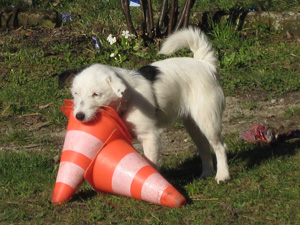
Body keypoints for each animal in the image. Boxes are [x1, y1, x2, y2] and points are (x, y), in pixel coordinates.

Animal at [70, 27, 230, 184]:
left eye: (96, 94)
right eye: (76, 94)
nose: (79, 116)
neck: (128, 98)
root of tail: (204, 64)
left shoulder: (150, 136)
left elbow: (150, 163)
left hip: (208, 120)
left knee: (220, 147)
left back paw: (222, 175)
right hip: (193, 124)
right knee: (204, 147)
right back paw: (207, 173)